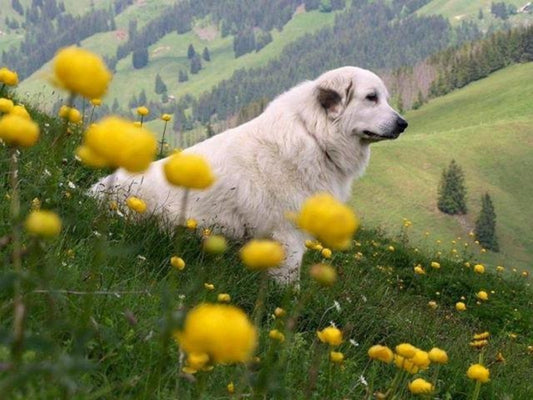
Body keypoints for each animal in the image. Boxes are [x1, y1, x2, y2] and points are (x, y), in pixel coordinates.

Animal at [92, 65, 408, 282]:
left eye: (385, 98)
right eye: (371, 98)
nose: (403, 124)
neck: (316, 136)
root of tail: (93, 193)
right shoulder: (288, 234)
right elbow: (289, 280)